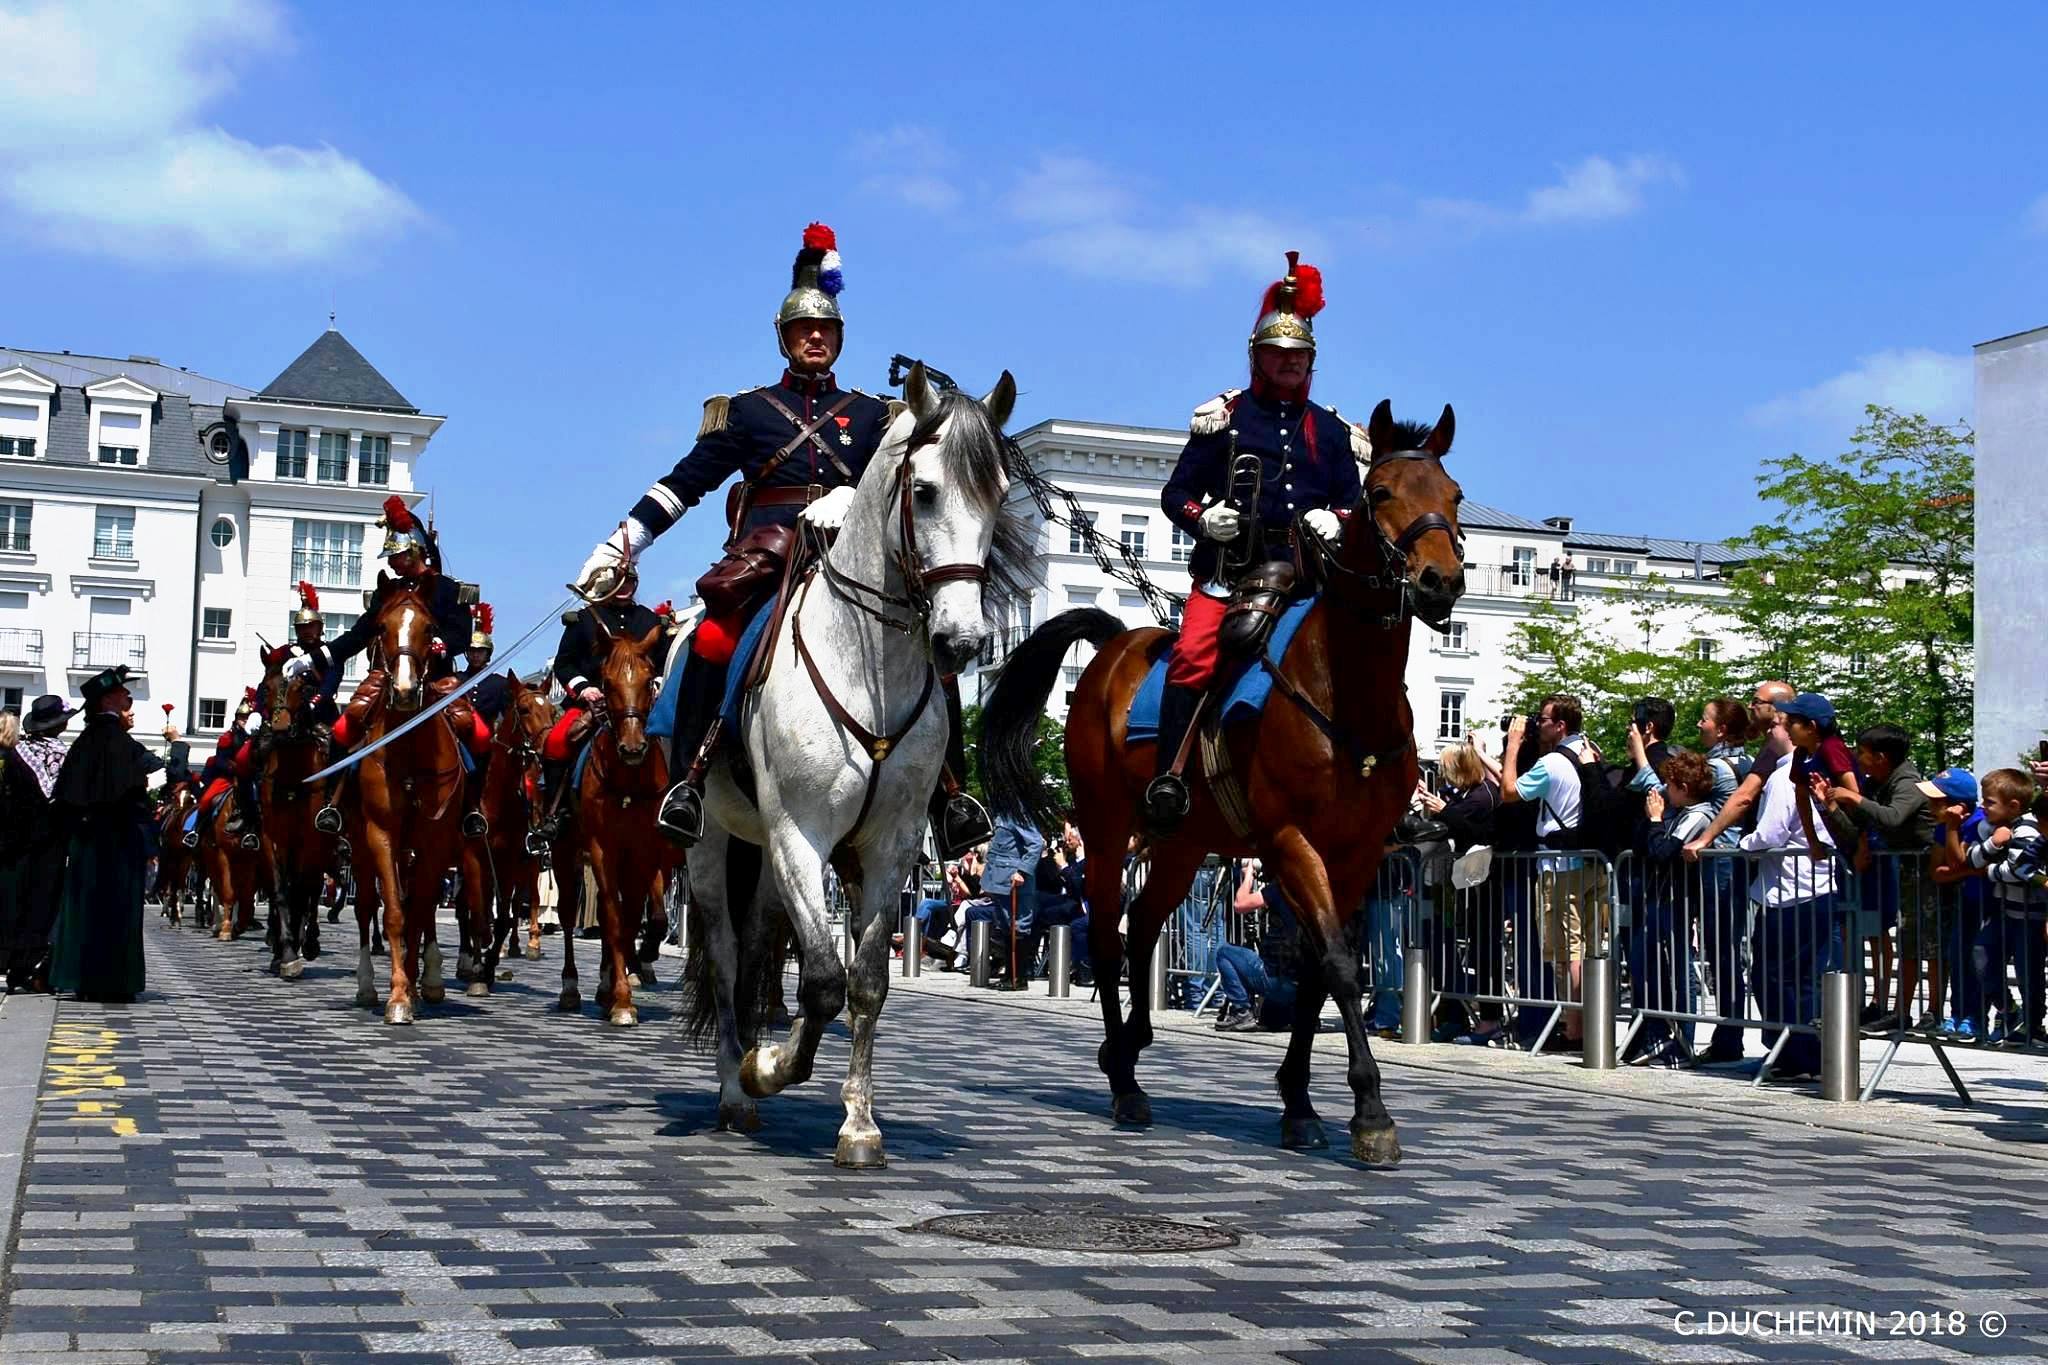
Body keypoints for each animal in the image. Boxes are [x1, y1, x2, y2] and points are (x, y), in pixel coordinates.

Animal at [260, 654, 344, 978]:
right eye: (265, 687)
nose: (281, 730)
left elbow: (301, 891)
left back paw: (308, 941)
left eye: (304, 687)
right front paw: (282, 951)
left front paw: (292, 949)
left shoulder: (309, 839)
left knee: (311, 889)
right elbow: (280, 889)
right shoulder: (272, 837)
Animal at [348, 577, 487, 1023]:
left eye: (430, 629)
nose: (406, 691)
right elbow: (393, 913)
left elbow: (420, 913)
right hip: (360, 850)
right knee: (365, 908)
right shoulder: (381, 835)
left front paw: (413, 986)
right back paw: (366, 986)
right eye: (381, 627)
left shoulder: (435, 840)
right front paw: (396, 996)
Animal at [561, 618, 671, 1023]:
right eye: (606, 683)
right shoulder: (602, 849)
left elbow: (631, 917)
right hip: (566, 855)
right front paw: (622, 1000)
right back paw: (572, 987)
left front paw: (619, 989)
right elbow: (611, 914)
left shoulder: (646, 851)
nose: (633, 747)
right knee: (567, 914)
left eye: (650, 678)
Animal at [684, 366, 1032, 1178]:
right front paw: (768, 1069)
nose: (962, 639)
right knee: (724, 955)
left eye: (999, 494)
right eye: (925, 490)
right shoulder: (800, 833)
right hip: (714, 845)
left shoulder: (889, 847)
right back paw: (735, 1088)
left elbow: (864, 983)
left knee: (758, 949)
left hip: (770, 859)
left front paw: (859, 1124)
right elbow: (819, 980)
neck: (867, 659)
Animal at [983, 401, 1466, 1170]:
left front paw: (1299, 1103)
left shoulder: (1356, 854)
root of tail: (1116, 645)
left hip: (1183, 845)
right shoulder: (1290, 842)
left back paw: (1131, 1047)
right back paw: (1124, 1080)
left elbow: (1315, 971)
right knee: (1112, 934)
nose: (1438, 582)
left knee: (1146, 925)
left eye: (1453, 495)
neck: (1347, 696)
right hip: (1106, 829)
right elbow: (1339, 964)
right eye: (1381, 491)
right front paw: (1370, 1111)